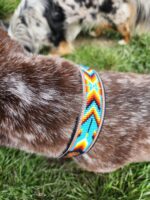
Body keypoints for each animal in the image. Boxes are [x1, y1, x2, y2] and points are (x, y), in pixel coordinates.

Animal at [7, 0, 150, 55]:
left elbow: (53, 53)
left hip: (114, 15)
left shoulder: (59, 40)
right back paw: (95, 32)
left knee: (126, 29)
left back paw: (124, 41)